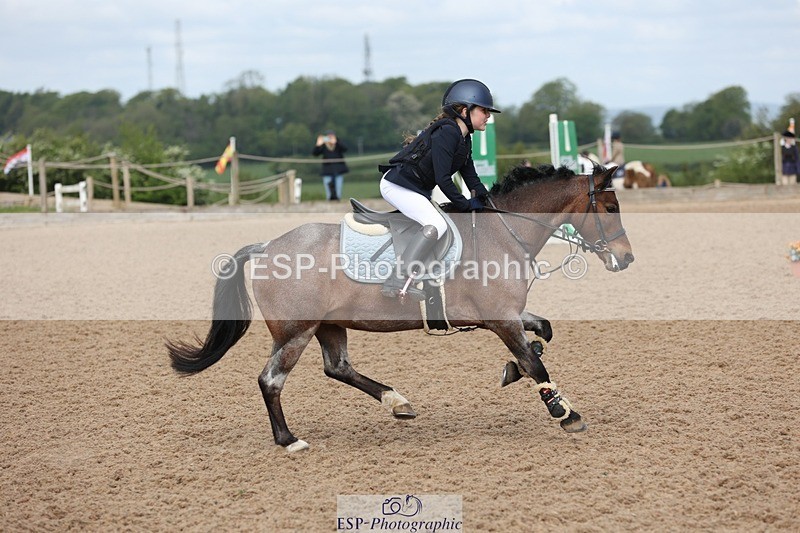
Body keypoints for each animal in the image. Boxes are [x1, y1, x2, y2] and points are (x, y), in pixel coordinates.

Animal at [167, 164, 635, 452]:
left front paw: (515, 369)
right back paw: (289, 440)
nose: (626, 259)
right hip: (295, 332)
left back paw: (397, 401)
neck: (505, 233)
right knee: (272, 380)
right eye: (611, 208)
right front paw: (565, 413)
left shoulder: (506, 316)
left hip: (328, 325)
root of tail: (267, 247)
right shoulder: (501, 319)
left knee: (338, 367)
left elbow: (542, 333)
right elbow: (537, 365)